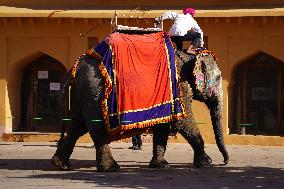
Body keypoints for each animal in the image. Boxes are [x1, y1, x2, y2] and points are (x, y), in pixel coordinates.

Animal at [51, 35, 229, 171]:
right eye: (218, 78)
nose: (225, 161)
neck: (187, 56)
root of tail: (76, 64)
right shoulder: (179, 86)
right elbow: (182, 122)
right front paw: (207, 163)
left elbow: (163, 125)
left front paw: (160, 165)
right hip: (94, 91)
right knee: (96, 128)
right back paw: (111, 168)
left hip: (82, 93)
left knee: (77, 126)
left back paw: (60, 165)